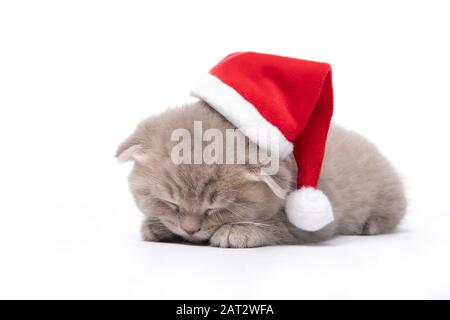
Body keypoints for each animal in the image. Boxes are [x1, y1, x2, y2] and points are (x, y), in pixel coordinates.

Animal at [118, 101, 406, 249]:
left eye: (215, 208)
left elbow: (280, 224)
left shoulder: (317, 221)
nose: (190, 230)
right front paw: (155, 225)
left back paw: (368, 226)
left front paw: (240, 230)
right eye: (171, 203)